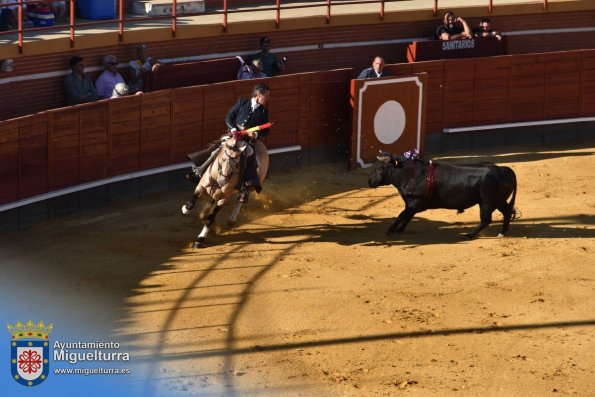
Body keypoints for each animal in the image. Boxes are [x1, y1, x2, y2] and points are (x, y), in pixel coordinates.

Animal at [370, 153, 520, 237]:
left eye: (380, 168)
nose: (369, 182)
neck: (409, 173)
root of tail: (503, 170)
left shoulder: (414, 204)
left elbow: (401, 215)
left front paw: (390, 230)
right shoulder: (412, 205)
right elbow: (406, 216)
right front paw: (398, 230)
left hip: (487, 202)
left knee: (486, 220)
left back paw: (470, 234)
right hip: (498, 201)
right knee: (507, 211)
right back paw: (502, 233)